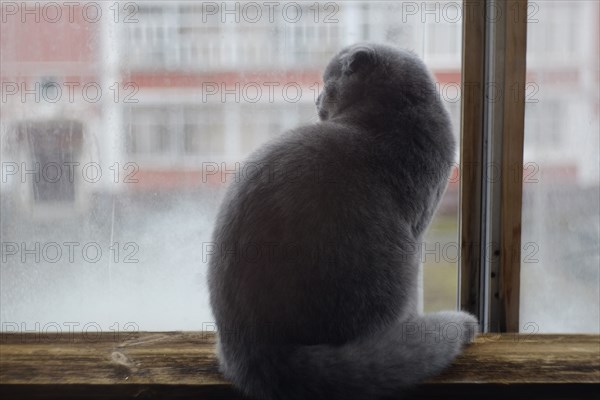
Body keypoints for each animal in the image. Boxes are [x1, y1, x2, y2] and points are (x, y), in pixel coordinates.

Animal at [207, 42, 478, 398]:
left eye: (326, 83)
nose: (316, 99)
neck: (391, 113)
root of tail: (254, 352)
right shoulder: (419, 224)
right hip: (394, 264)